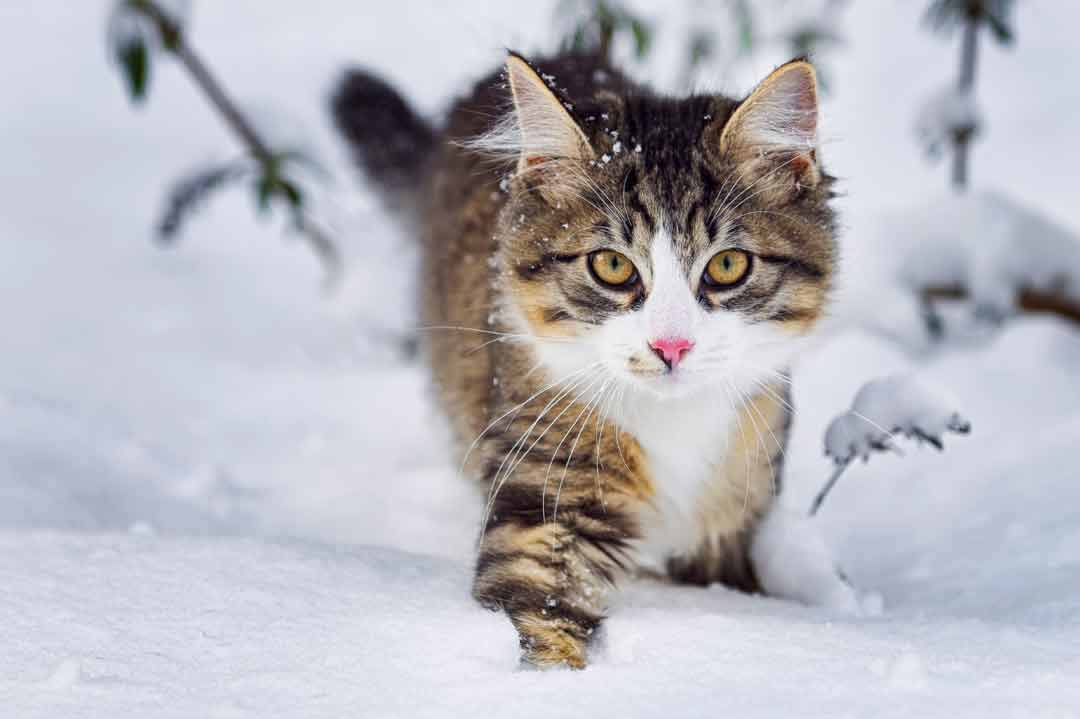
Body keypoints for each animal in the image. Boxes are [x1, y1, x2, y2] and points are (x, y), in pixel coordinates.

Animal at [332, 49, 838, 665]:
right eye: (613, 266)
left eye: (727, 265)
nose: (671, 345)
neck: (675, 422)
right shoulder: (548, 491)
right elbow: (540, 612)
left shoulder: (734, 510)